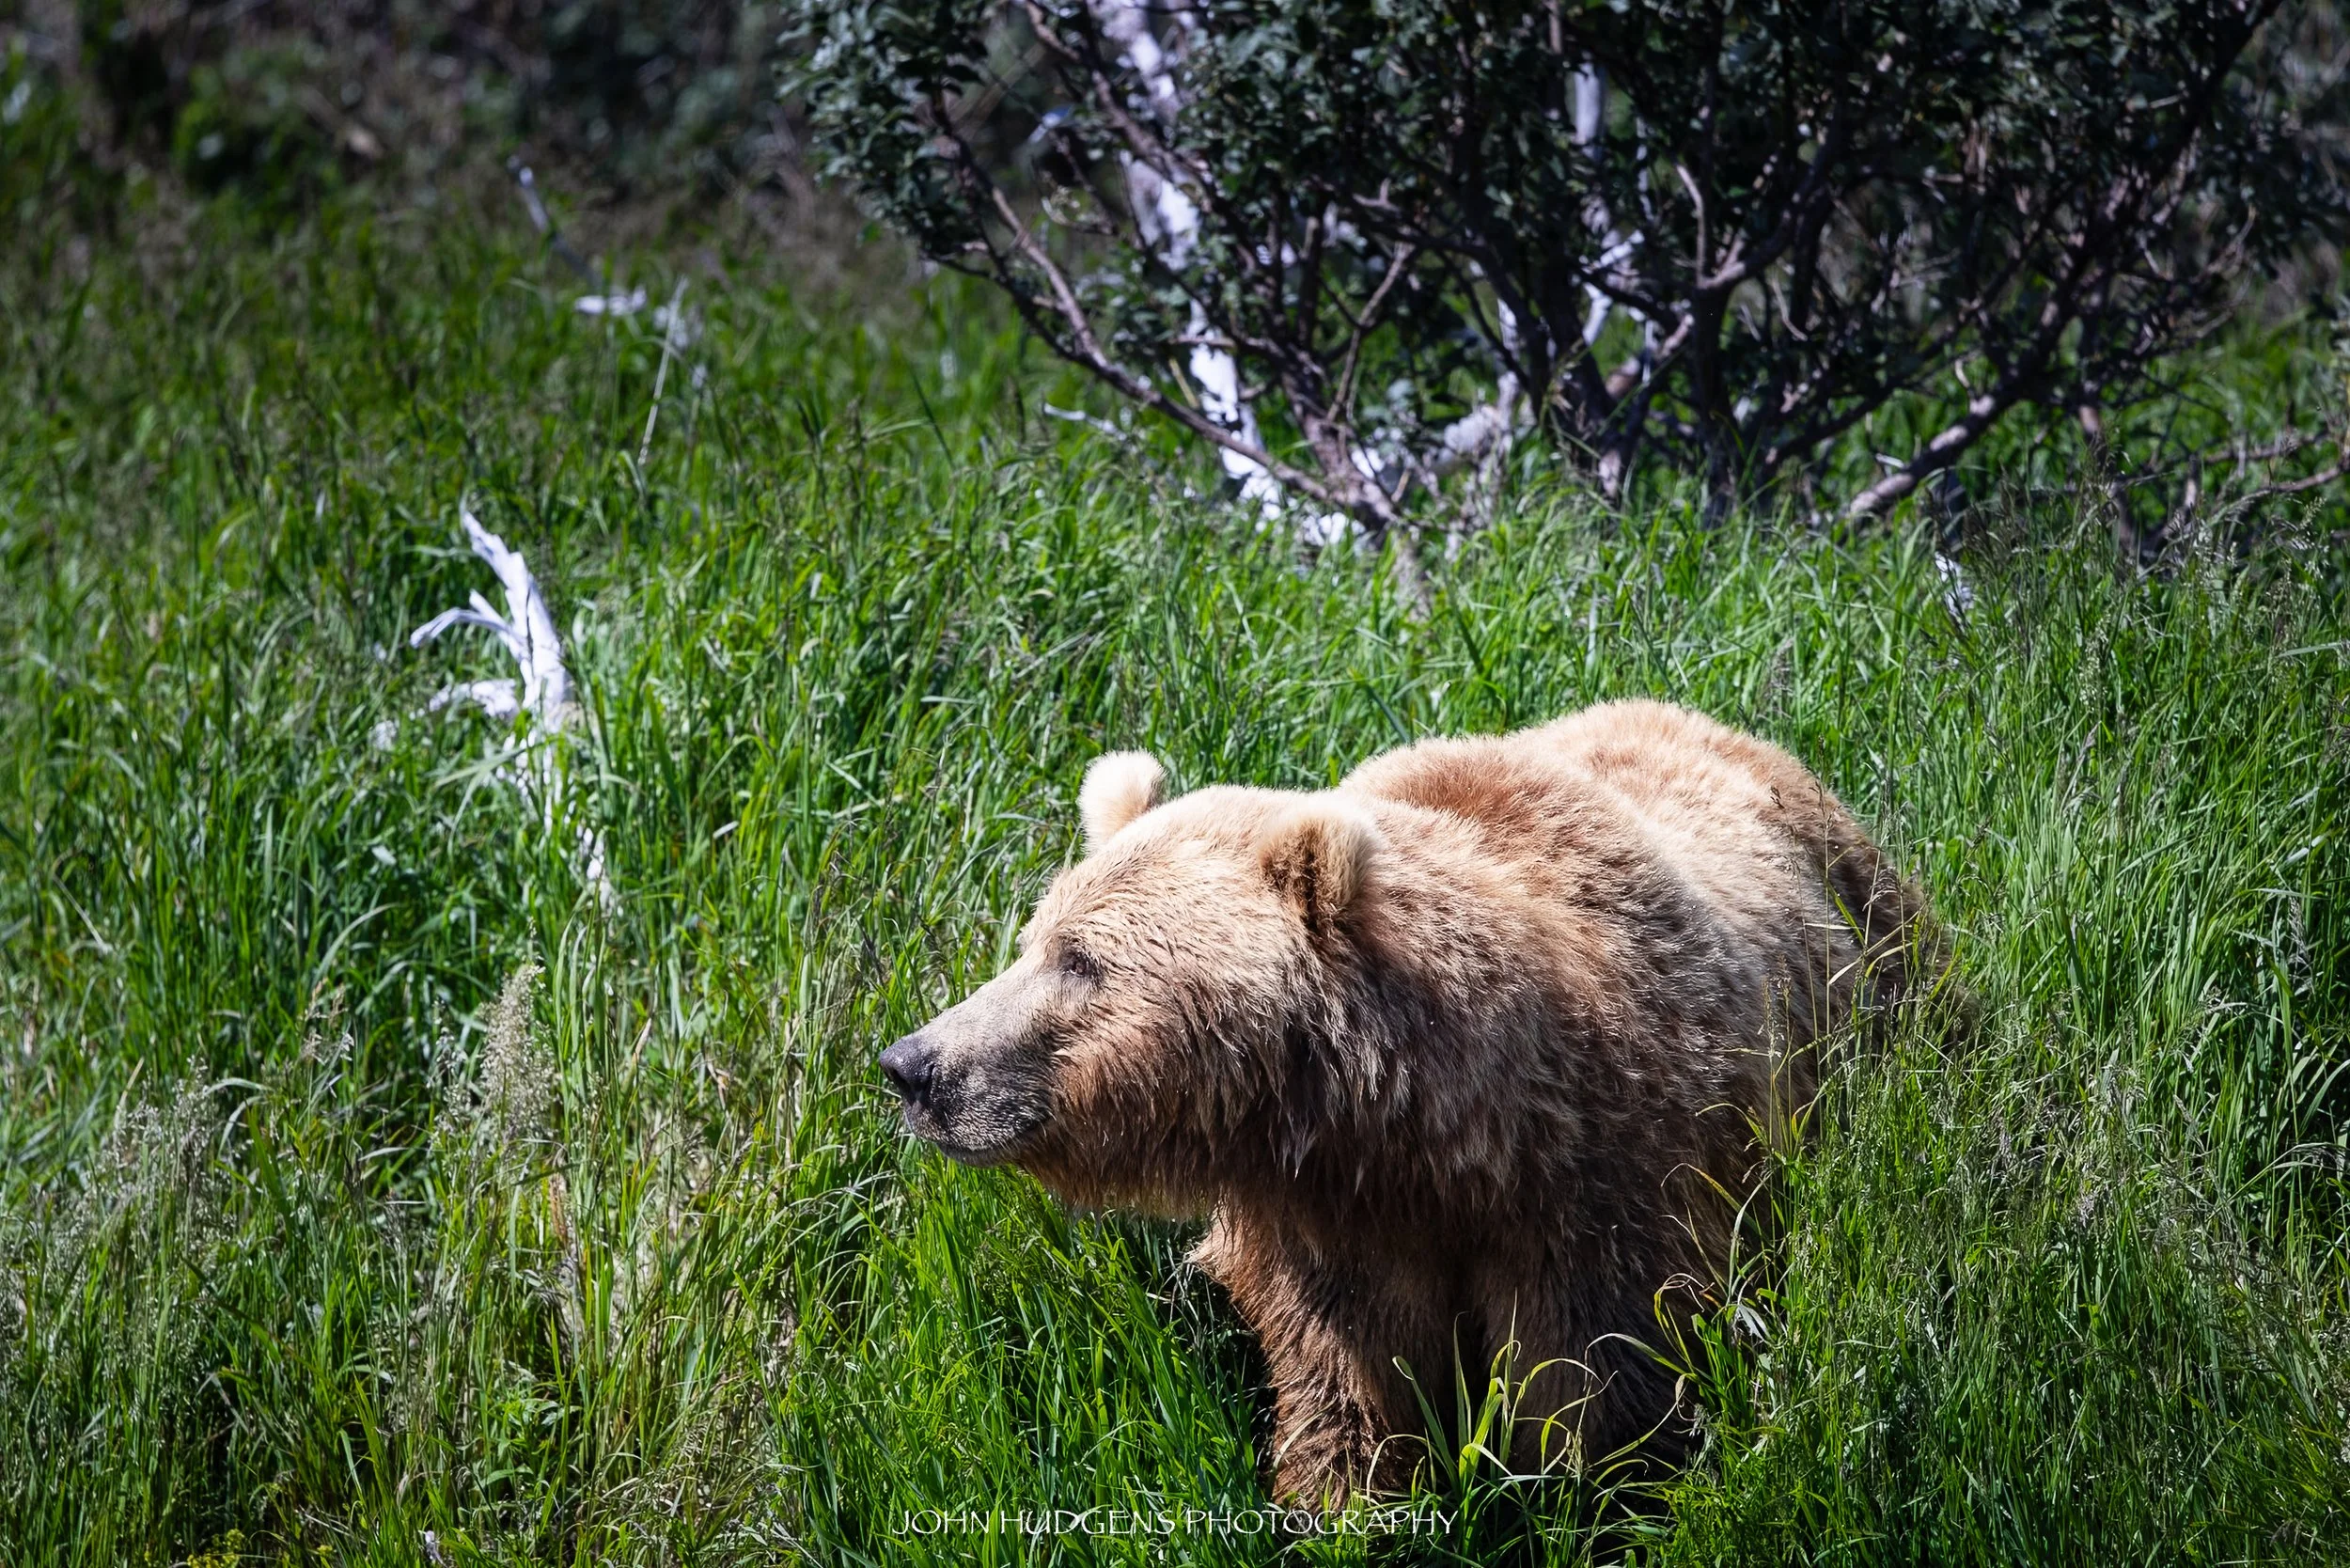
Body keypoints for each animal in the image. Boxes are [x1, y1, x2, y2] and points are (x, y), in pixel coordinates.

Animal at [879, 699, 1928, 1505]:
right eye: (1033, 941)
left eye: (1082, 961)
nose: (913, 1066)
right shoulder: (1340, 1228)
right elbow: (1352, 1386)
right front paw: (1349, 1502)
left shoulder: (1609, 1182)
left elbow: (1595, 1378)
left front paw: (1589, 1498)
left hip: (1884, 958)